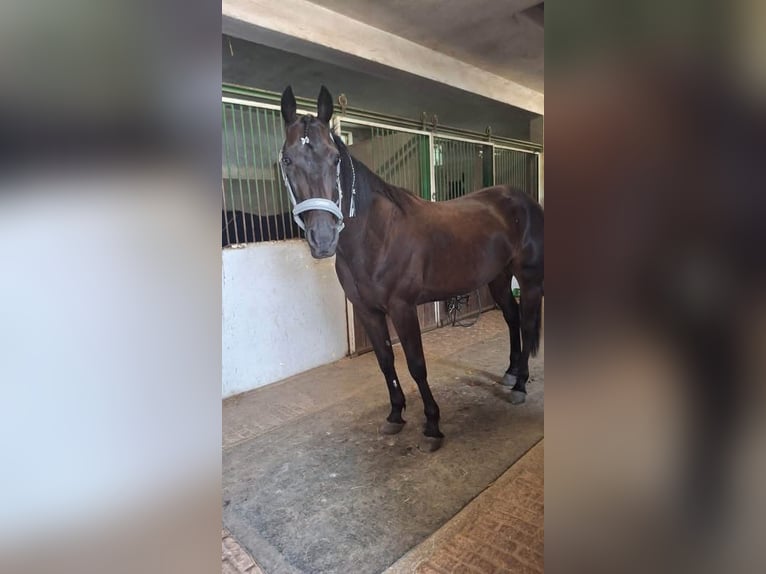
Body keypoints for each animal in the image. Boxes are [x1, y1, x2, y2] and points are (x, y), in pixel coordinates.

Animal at [279, 85, 544, 451]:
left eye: (334, 159)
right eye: (287, 159)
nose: (323, 238)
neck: (376, 234)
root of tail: (522, 199)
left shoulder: (403, 308)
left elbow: (416, 364)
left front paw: (432, 423)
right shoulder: (368, 311)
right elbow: (385, 361)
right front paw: (395, 414)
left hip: (528, 278)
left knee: (528, 322)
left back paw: (520, 385)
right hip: (499, 278)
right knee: (513, 317)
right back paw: (510, 374)